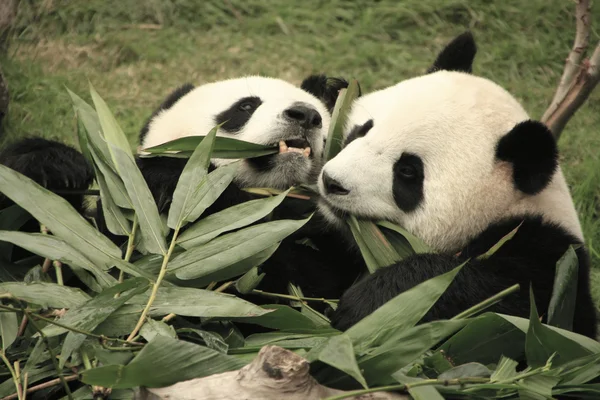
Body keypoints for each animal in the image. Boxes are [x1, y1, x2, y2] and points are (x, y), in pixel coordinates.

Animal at [316, 32, 596, 338]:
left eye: (407, 171)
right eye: (363, 130)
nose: (332, 182)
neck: (511, 208)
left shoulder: (551, 263)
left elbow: (495, 293)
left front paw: (369, 304)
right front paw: (327, 90)